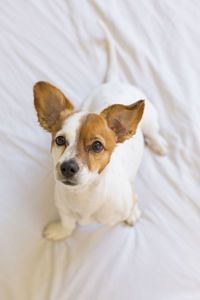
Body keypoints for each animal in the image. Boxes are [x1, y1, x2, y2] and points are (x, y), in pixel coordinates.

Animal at [33, 20, 167, 241]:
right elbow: (68, 225)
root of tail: (115, 82)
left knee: (153, 131)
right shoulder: (64, 211)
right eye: (60, 140)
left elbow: (133, 203)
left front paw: (133, 214)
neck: (85, 197)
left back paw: (158, 143)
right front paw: (59, 231)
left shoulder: (128, 198)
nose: (68, 167)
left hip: (149, 120)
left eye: (97, 146)